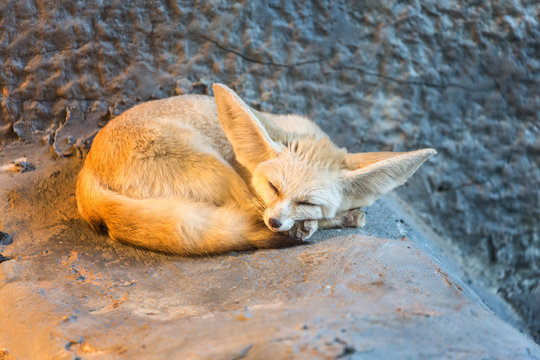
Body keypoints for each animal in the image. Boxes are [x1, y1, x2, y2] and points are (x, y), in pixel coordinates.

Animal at [78, 83, 436, 256]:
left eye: (307, 201)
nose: (276, 221)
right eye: (274, 187)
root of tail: (87, 172)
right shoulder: (259, 197)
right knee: (249, 214)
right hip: (217, 168)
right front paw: (323, 221)